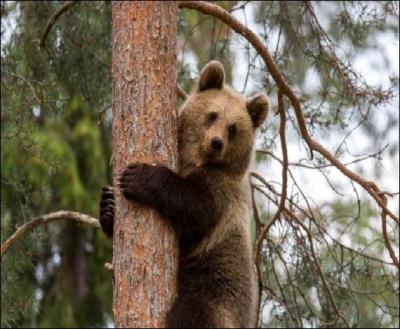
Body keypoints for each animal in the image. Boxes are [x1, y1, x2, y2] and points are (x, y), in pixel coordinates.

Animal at [99, 60, 270, 326]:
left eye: (233, 128)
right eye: (212, 115)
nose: (216, 142)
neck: (196, 161)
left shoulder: (220, 192)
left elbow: (193, 206)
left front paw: (137, 177)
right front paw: (108, 205)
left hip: (214, 293)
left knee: (193, 312)